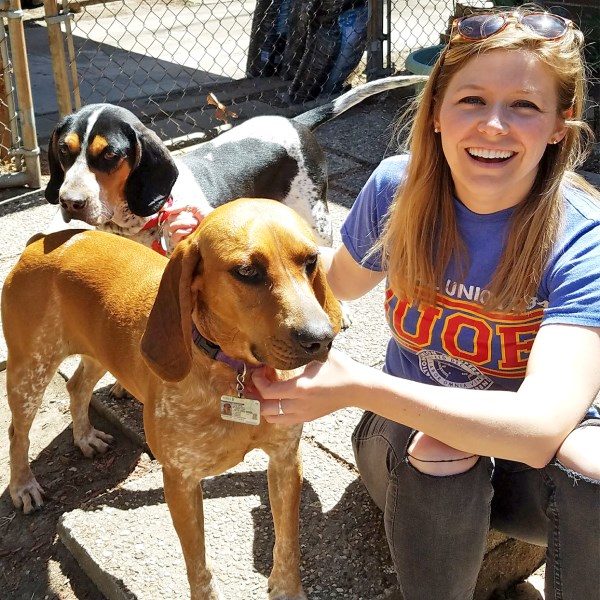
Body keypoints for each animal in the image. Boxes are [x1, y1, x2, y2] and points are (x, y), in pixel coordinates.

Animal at [2, 199, 342, 600]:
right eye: (246, 271)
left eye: (311, 260)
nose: (321, 339)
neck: (231, 371)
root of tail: (40, 242)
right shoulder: (180, 481)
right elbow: (198, 565)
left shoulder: (286, 460)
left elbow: (288, 541)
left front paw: (288, 589)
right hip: (30, 371)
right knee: (17, 433)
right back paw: (22, 485)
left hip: (99, 352)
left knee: (77, 388)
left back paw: (84, 436)